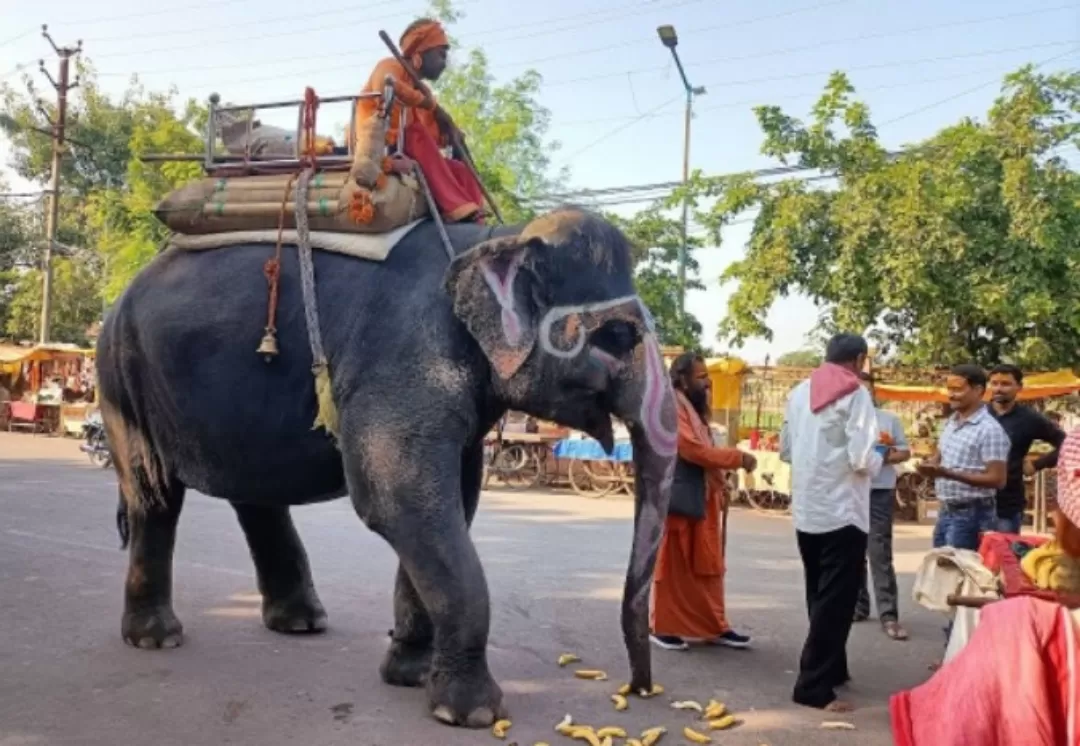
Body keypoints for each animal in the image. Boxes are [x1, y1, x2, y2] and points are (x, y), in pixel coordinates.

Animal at [99, 206, 673, 729]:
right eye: (618, 337)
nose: (638, 689)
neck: (497, 237)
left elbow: (454, 502)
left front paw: (411, 676)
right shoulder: (405, 357)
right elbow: (398, 503)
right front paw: (470, 713)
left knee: (252, 493)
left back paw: (301, 623)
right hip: (123, 376)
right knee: (154, 494)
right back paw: (157, 637)